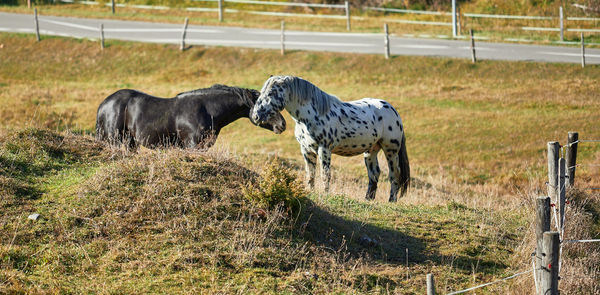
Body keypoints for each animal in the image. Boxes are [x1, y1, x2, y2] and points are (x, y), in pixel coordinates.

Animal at [251, 75, 410, 202]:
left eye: (272, 92)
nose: (256, 116)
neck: (310, 116)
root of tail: (392, 109)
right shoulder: (306, 150)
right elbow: (310, 175)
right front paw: (311, 193)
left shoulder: (324, 149)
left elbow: (325, 175)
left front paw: (325, 195)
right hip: (370, 151)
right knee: (374, 175)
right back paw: (368, 200)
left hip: (390, 151)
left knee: (394, 175)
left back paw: (391, 201)